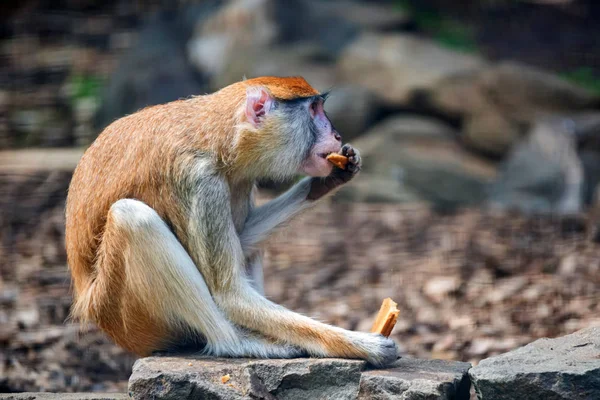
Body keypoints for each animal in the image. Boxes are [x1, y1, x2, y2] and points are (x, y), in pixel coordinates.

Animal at [64, 76, 398, 368]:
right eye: (314, 110)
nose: (338, 136)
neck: (220, 136)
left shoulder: (240, 178)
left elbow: (245, 240)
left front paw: (328, 180)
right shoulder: (200, 180)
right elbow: (229, 294)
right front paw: (363, 344)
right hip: (123, 311)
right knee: (132, 217)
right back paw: (237, 342)